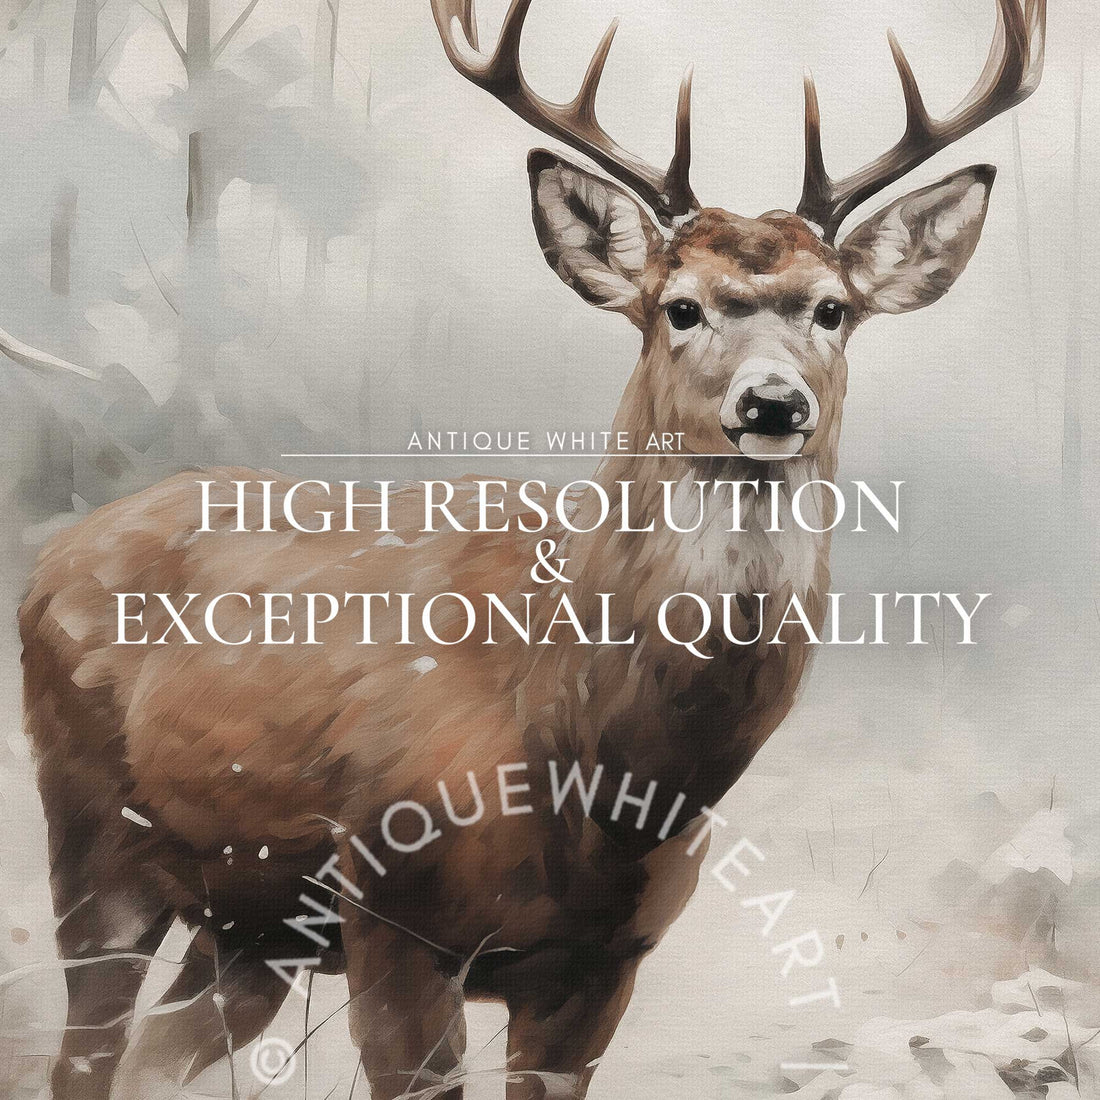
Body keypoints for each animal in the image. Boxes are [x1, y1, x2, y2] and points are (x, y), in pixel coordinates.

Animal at [19, 0, 1044, 1097]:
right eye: (679, 306)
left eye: (832, 308)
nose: (773, 404)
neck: (581, 756)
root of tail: (52, 558)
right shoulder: (391, 910)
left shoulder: (604, 961)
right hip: (93, 834)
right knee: (87, 1051)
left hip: (253, 921)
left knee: (155, 1056)